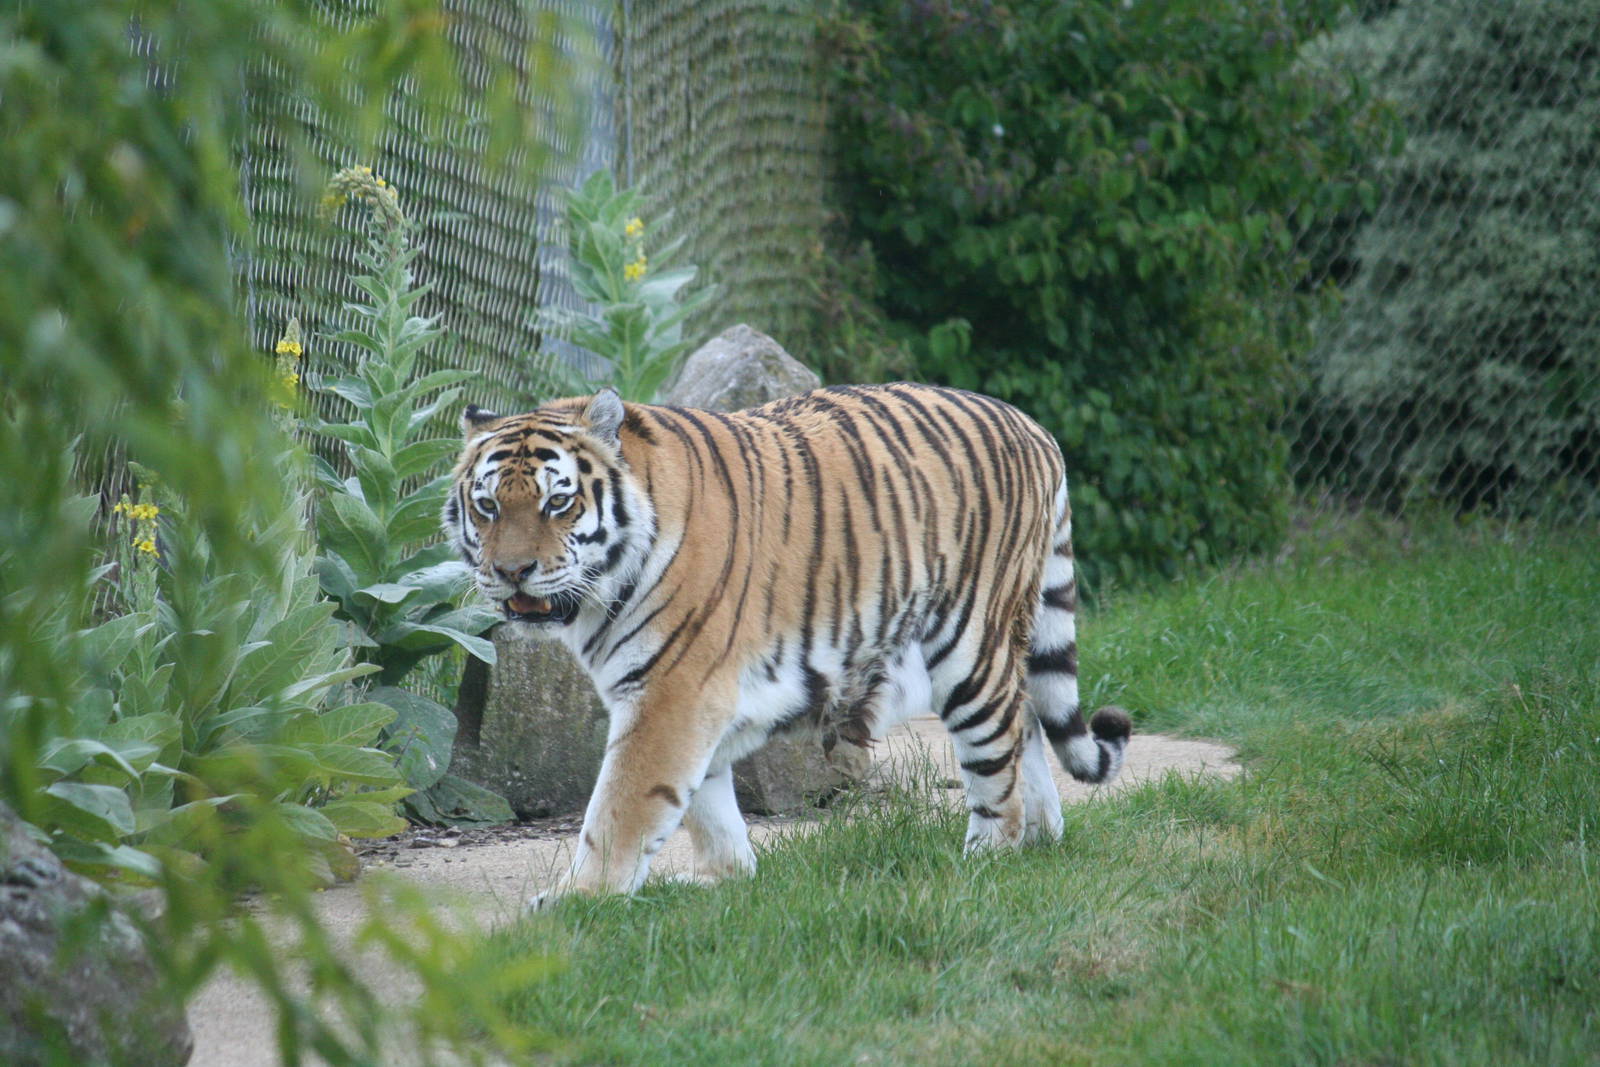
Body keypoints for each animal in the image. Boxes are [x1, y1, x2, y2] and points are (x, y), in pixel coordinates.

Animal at [444, 383, 1130, 906]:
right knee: (1027, 718)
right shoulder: (687, 698)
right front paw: (723, 880)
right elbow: (705, 801)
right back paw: (1041, 839)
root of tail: (1033, 427)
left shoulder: (670, 692)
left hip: (968, 644)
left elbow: (622, 807)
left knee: (999, 746)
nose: (511, 572)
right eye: (487, 507)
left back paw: (989, 857)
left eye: (558, 502)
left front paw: (580, 902)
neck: (598, 596)